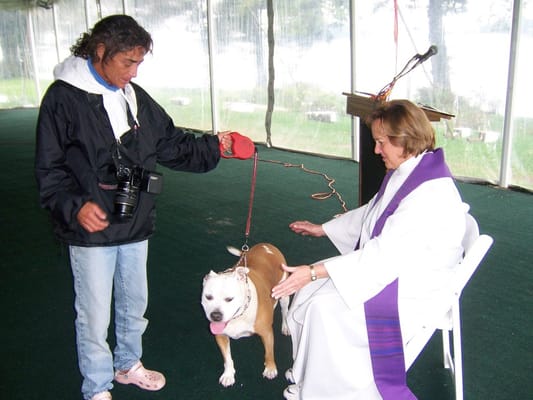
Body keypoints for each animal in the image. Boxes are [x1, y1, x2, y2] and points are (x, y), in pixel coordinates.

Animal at [201, 242, 290, 386]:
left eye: (229, 299)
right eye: (208, 297)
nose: (216, 315)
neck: (239, 316)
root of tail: (266, 245)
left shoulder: (267, 333)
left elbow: (269, 353)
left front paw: (270, 369)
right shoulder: (220, 336)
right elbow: (227, 358)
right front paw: (228, 374)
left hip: (284, 293)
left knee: (285, 310)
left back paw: (286, 326)